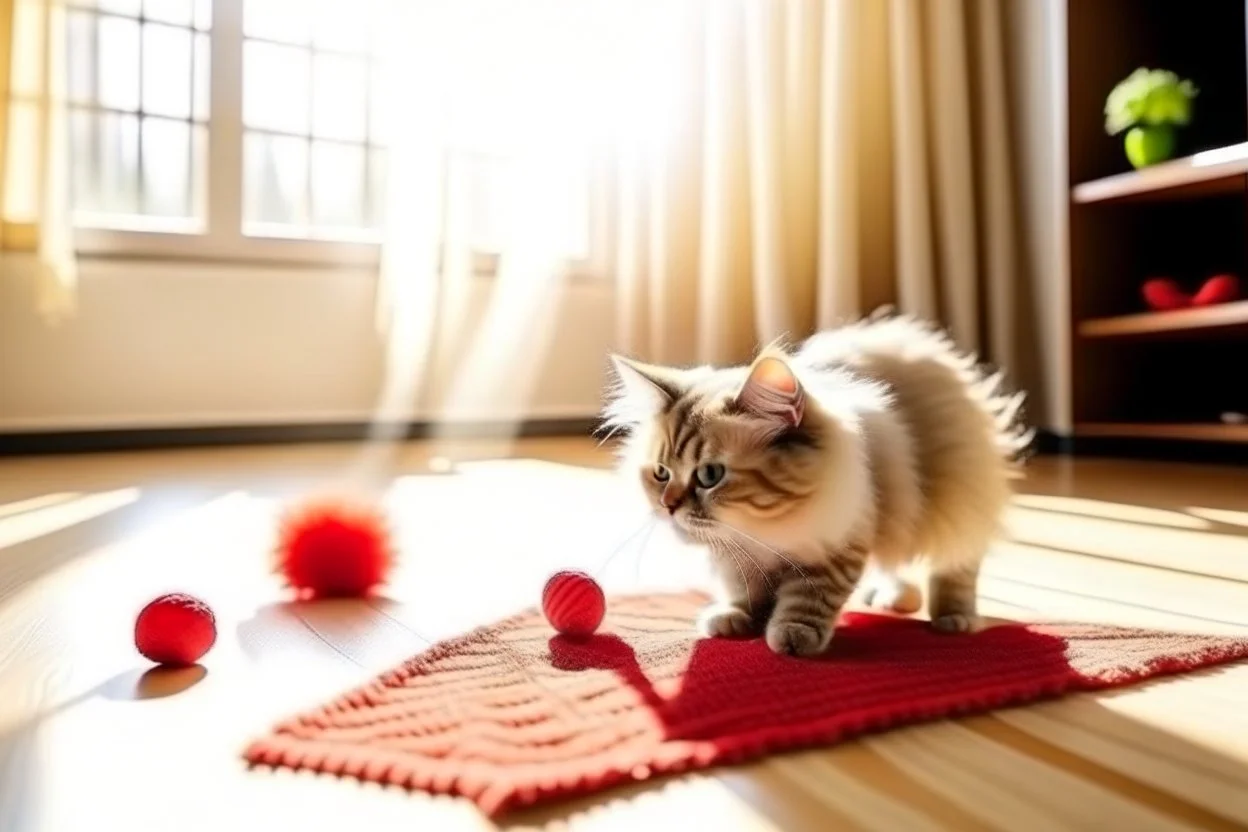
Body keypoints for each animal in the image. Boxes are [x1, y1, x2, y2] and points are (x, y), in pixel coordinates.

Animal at [599, 311, 1028, 658]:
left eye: (709, 475)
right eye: (661, 473)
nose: (668, 505)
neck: (760, 531)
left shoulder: (836, 543)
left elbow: (808, 599)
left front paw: (791, 635)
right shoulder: (737, 559)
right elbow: (744, 593)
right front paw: (735, 619)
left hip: (954, 497)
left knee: (957, 561)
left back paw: (954, 617)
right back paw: (895, 597)